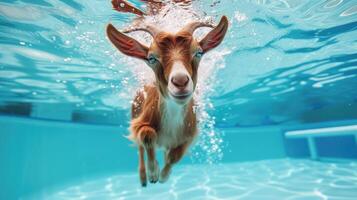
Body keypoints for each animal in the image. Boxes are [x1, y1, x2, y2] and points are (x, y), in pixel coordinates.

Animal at [105, 0, 228, 188]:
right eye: (151, 58)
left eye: (198, 52)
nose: (180, 81)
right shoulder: (141, 121)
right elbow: (147, 135)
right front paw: (154, 172)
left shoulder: (189, 135)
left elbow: (174, 156)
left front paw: (164, 176)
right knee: (140, 149)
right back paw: (143, 177)